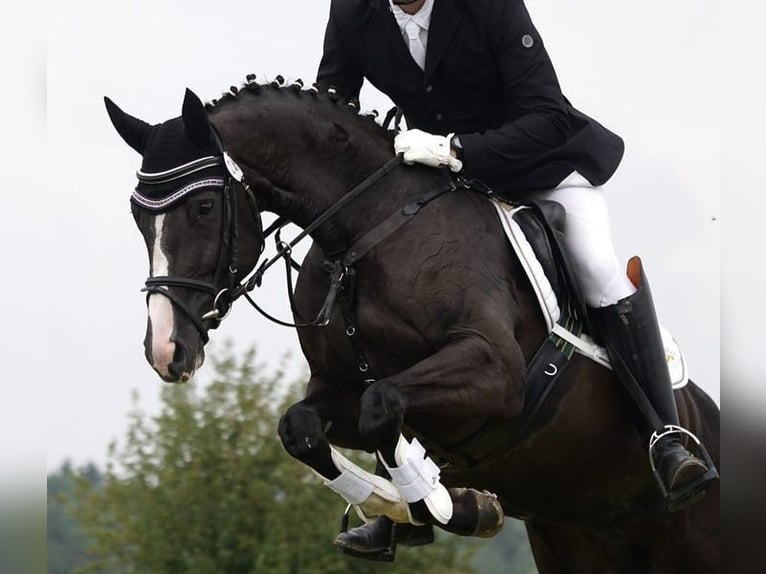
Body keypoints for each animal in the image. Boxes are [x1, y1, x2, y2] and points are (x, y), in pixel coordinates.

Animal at [105, 79, 720, 573]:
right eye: (136, 217)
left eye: (205, 209)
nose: (166, 351)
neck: (363, 231)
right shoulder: (339, 387)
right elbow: (305, 426)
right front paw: (408, 507)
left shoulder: (495, 372)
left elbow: (382, 405)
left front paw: (450, 502)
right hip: (575, 541)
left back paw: (680, 462)